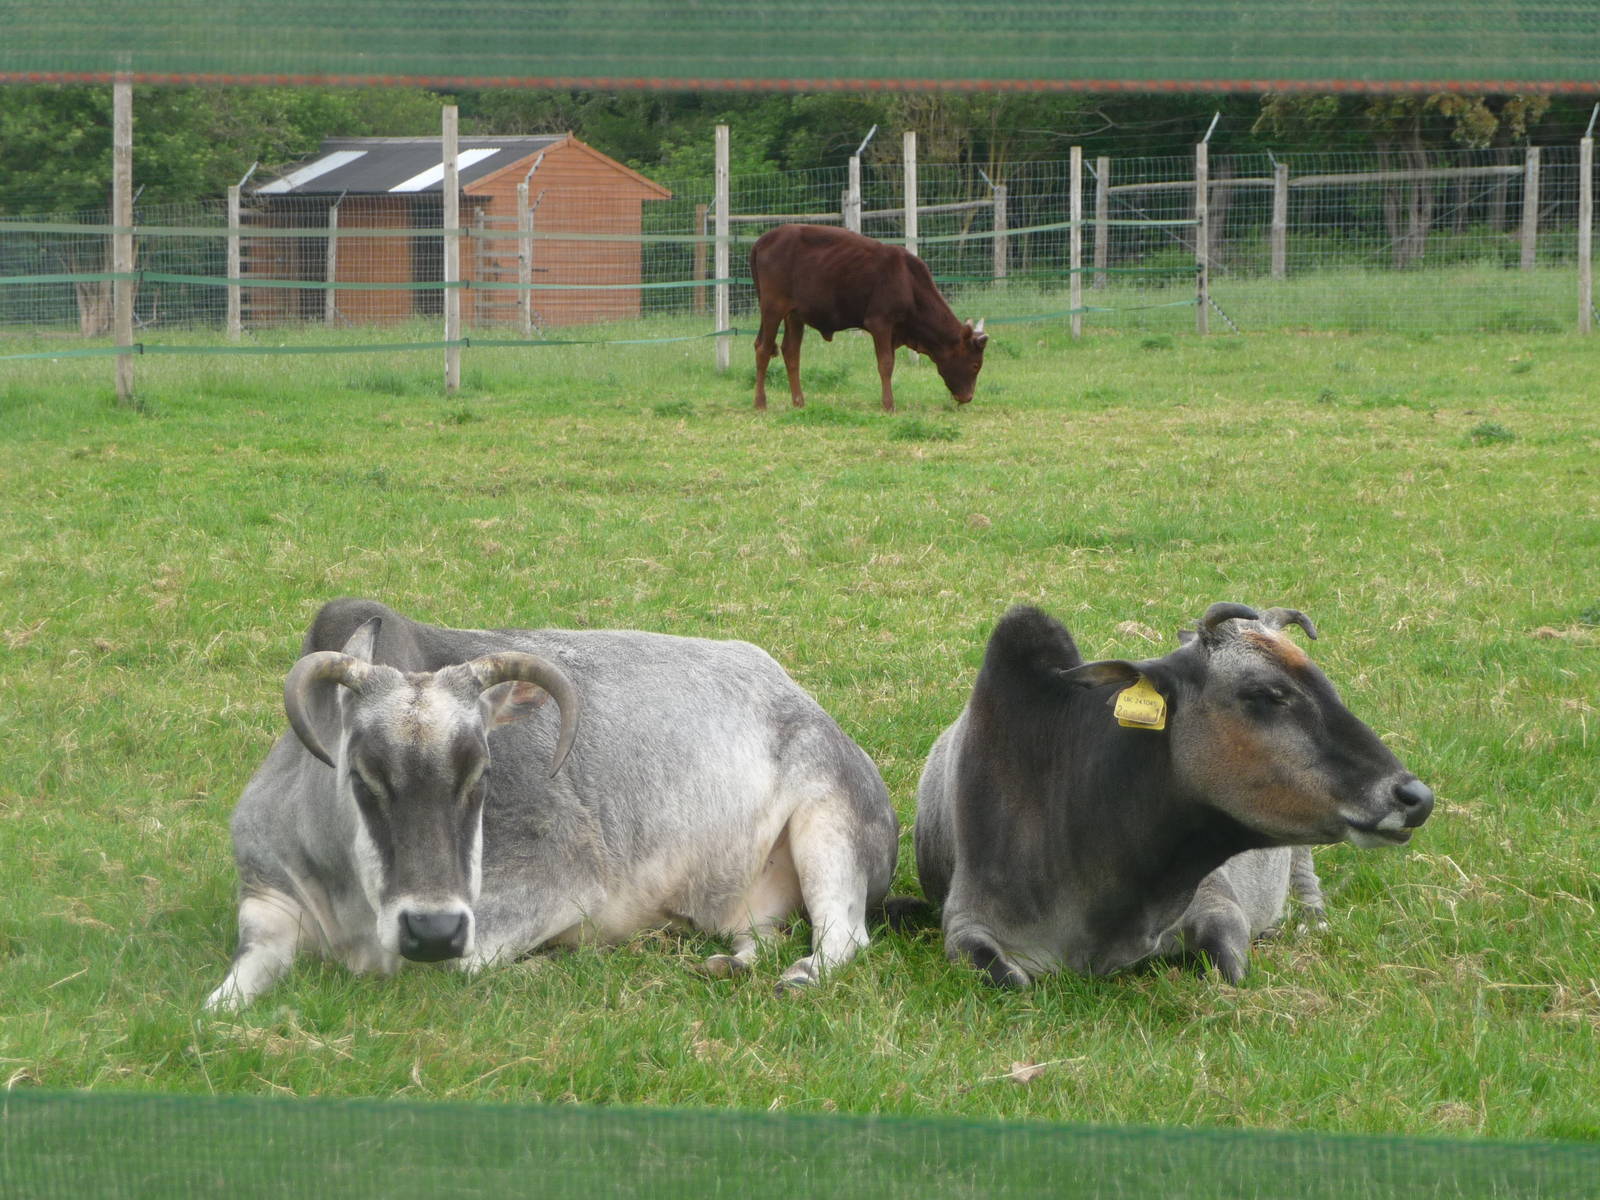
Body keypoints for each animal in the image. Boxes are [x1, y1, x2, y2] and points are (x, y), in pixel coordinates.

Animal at [205, 598, 899, 1010]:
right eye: (361, 773)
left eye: (483, 772)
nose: (431, 929)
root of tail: (802, 698)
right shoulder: (265, 896)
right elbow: (228, 991)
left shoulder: (560, 882)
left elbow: (461, 967)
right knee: (760, 934)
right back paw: (728, 963)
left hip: (831, 820)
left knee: (846, 935)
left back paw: (802, 974)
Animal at [749, 223, 988, 413]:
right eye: (975, 364)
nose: (968, 397)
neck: (908, 281)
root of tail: (763, 240)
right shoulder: (880, 323)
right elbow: (886, 364)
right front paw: (889, 405)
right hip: (772, 308)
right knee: (763, 348)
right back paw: (760, 403)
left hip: (795, 314)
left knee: (791, 352)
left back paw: (798, 401)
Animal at [913, 602, 1433, 988]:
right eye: (1265, 694)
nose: (1416, 797)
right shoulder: (966, 925)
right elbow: (1010, 980)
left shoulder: (1217, 901)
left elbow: (1227, 971)